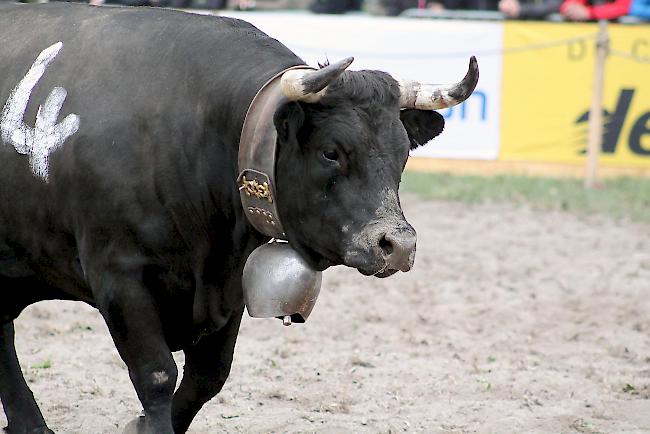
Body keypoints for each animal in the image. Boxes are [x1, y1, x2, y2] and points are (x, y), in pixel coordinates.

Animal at [0, 4, 476, 434]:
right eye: (331, 151)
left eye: (403, 151)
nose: (397, 244)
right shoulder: (119, 275)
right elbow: (157, 376)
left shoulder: (227, 289)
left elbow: (207, 379)